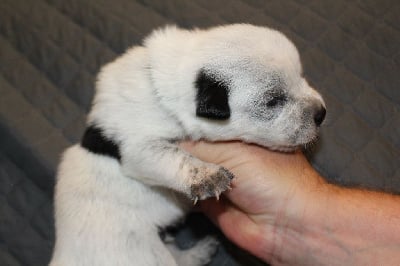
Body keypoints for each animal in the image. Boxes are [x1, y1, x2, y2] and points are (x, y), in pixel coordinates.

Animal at [50, 23, 324, 264]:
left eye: (301, 76)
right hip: (143, 254)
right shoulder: (138, 147)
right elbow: (175, 157)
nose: (321, 113)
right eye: (273, 101)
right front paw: (207, 177)